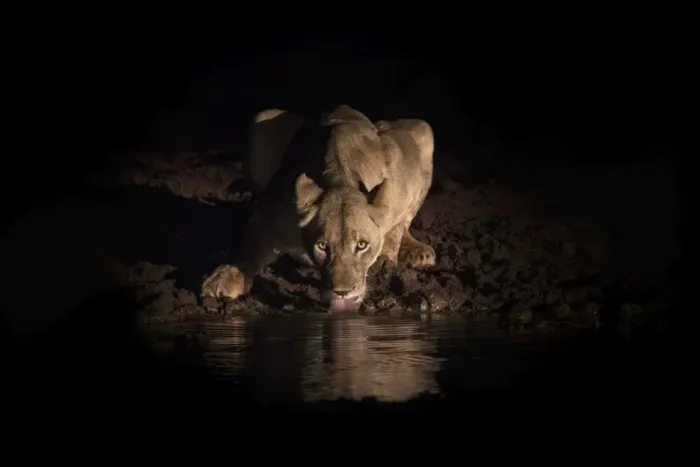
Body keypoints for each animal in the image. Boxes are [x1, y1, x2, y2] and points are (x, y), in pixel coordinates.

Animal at [201, 104, 436, 312]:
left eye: (361, 245)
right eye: (322, 246)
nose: (342, 292)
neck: (341, 176)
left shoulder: (399, 169)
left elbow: (395, 232)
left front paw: (386, 265)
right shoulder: (273, 213)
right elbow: (248, 246)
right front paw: (224, 276)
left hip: (422, 129)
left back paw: (417, 251)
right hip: (262, 120)